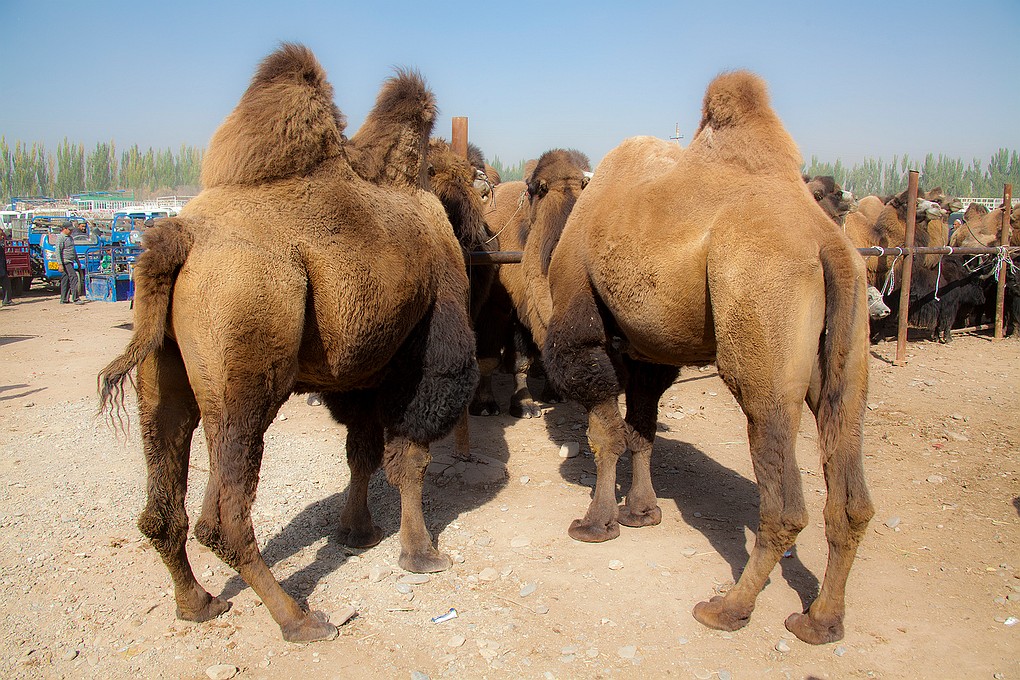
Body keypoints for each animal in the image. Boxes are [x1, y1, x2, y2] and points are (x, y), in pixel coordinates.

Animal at [99, 44, 478, 643]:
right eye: (478, 185)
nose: (486, 232)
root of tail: (175, 239)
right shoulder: (426, 347)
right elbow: (409, 457)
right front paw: (422, 554)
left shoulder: (361, 370)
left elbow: (362, 452)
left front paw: (356, 531)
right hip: (246, 348)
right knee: (225, 517)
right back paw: (299, 618)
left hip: (162, 369)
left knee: (165, 503)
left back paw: (198, 602)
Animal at [470, 149, 591, 418]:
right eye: (538, 189)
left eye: (585, 185)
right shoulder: (496, 305)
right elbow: (489, 357)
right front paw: (486, 405)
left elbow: (526, 357)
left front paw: (537, 399)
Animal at [541, 71, 874, 645]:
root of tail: (829, 242)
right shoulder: (649, 348)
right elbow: (641, 430)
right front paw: (641, 513)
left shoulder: (582, 325)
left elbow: (605, 433)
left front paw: (596, 524)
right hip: (847, 356)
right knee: (849, 488)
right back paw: (820, 621)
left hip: (762, 320)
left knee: (784, 497)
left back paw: (728, 608)